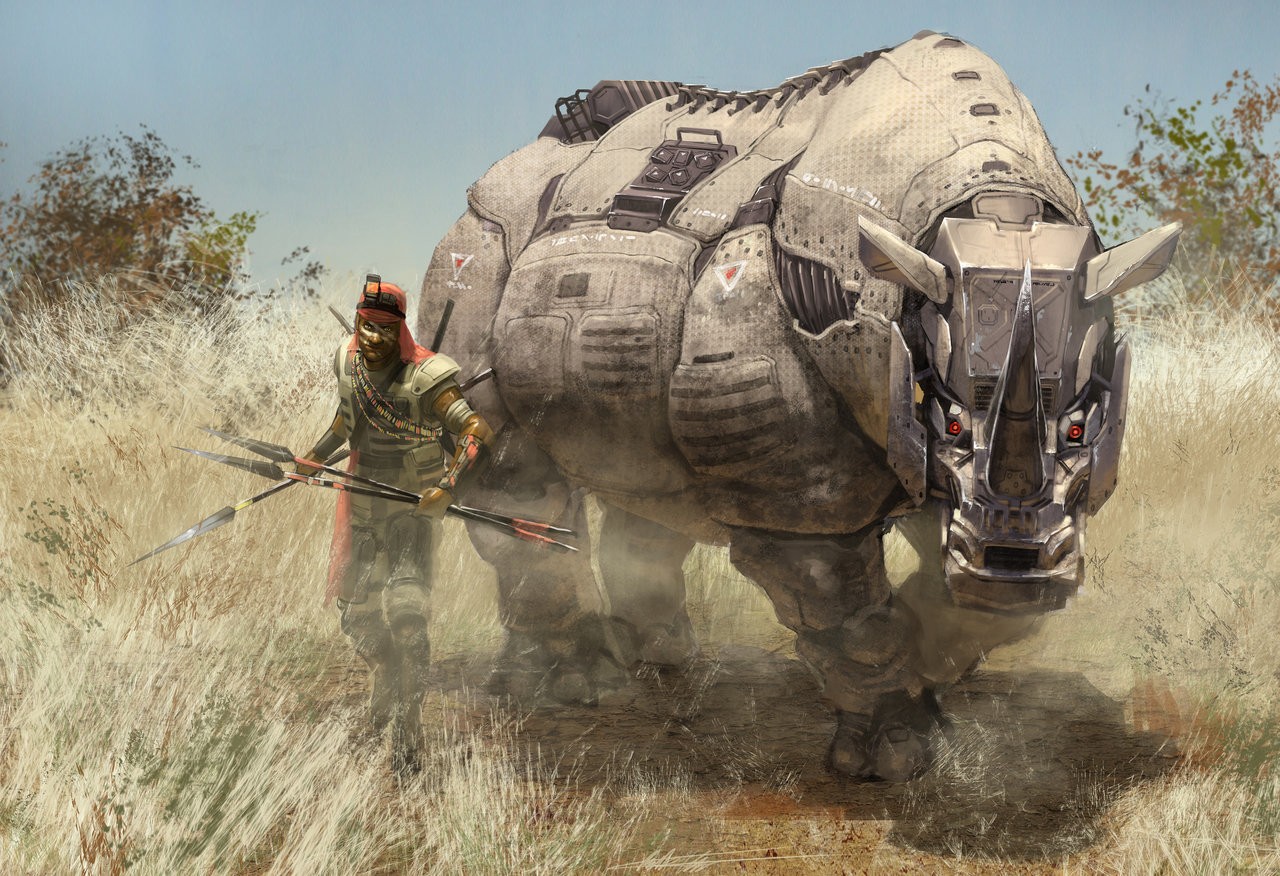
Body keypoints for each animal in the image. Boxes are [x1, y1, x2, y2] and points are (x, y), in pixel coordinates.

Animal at [416, 31, 1179, 781]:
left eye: (1079, 428)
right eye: (952, 421)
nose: (1012, 561)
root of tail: (520, 159)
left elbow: (981, 600)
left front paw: (935, 670)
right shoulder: (798, 489)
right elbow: (832, 593)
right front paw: (894, 754)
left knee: (646, 479)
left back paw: (656, 658)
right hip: (478, 250)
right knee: (513, 475)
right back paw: (577, 687)